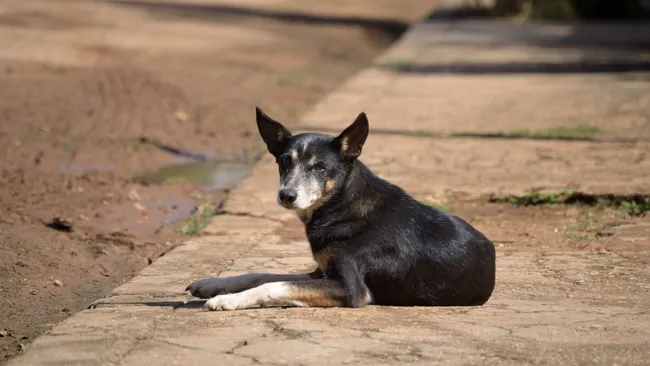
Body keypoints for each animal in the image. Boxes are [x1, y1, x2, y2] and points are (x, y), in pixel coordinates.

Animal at [185, 107, 494, 310]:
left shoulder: (349, 288)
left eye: (320, 167)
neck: (341, 205)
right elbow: (261, 275)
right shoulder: (321, 272)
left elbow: (274, 285)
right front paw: (211, 284)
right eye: (284, 162)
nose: (286, 196)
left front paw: (228, 299)